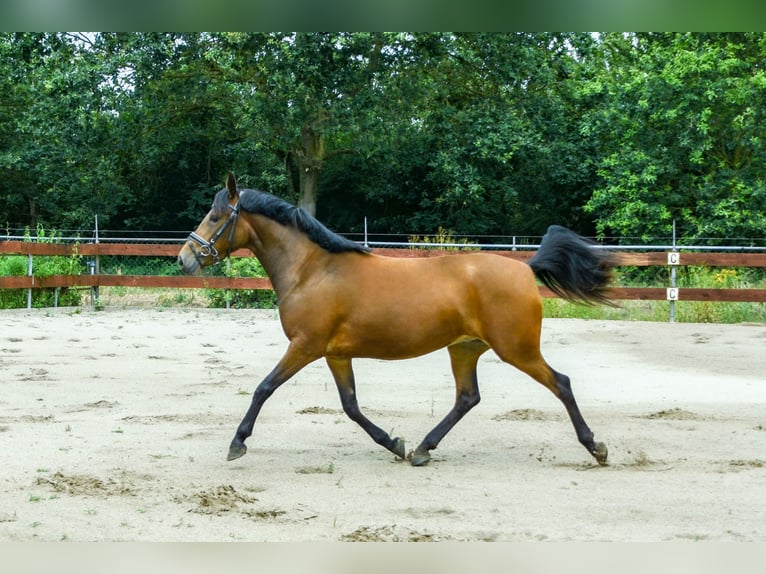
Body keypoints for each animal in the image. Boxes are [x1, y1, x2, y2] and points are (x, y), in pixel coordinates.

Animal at [178, 173, 614, 467]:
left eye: (215, 216)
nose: (184, 259)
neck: (312, 270)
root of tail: (525, 267)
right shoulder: (335, 354)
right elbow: (351, 406)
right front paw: (394, 442)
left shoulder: (305, 346)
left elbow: (263, 388)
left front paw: (237, 443)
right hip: (465, 348)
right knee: (467, 398)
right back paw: (422, 448)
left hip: (516, 349)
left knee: (561, 383)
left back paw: (596, 446)